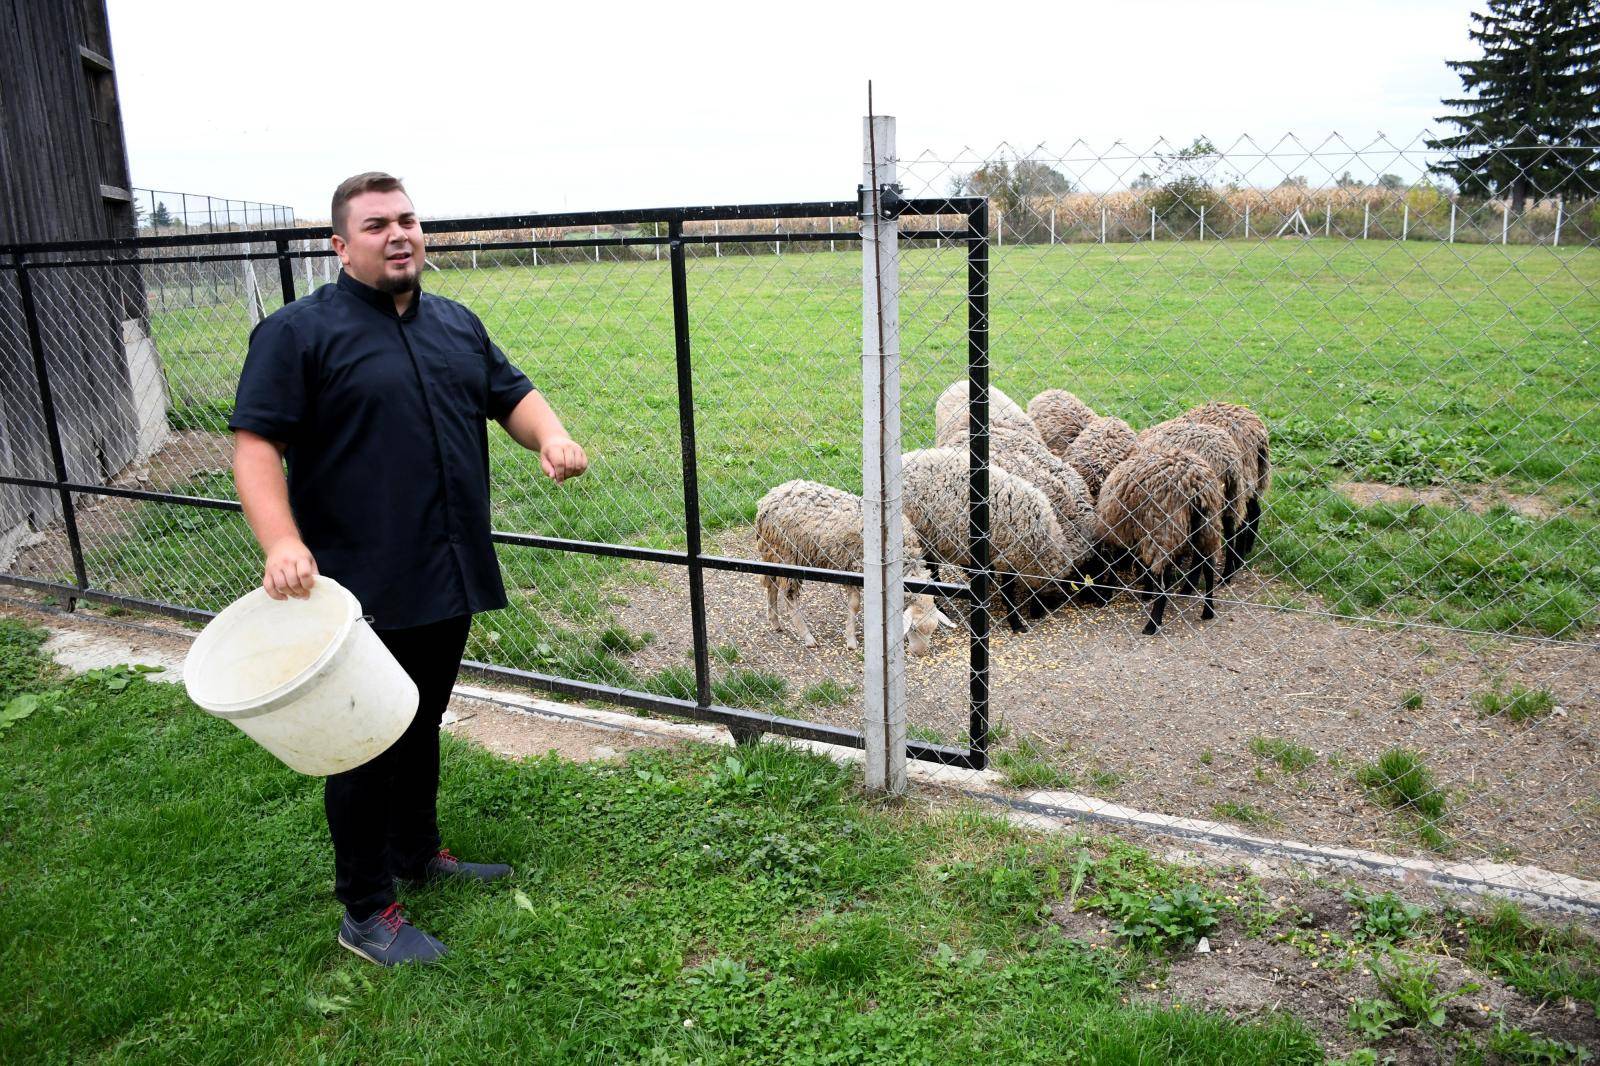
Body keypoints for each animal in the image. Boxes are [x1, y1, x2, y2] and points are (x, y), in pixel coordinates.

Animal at [1088, 444, 1222, 630]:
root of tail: (1193, 483)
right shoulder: (1137, 532)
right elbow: (1143, 566)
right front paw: (1146, 591)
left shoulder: (1119, 531)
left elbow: (1113, 564)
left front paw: (1106, 594)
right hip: (1207, 526)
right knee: (1209, 567)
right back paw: (1208, 611)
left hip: (1163, 529)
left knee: (1164, 582)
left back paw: (1152, 624)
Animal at [1139, 416, 1248, 582]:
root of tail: (1226, 459)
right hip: (1231, 494)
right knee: (1229, 531)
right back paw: (1226, 575)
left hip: (1207, 499)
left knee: (1201, 548)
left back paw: (1191, 583)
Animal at [1184, 398, 1267, 557]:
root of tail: (1257, 431)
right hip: (1252, 476)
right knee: (1253, 511)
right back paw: (1247, 548)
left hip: (1239, 481)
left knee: (1241, 520)